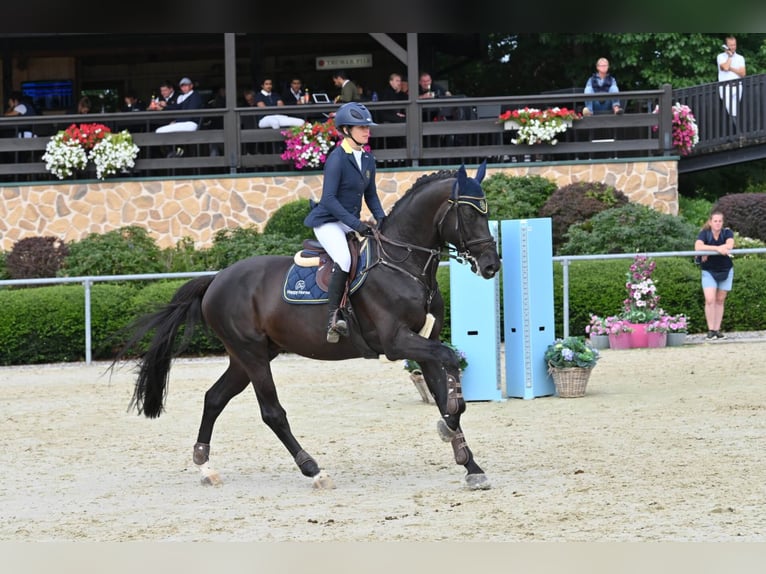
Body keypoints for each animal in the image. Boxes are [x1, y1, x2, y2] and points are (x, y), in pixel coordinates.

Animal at [111, 162, 500, 490]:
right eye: (468, 212)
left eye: (487, 210)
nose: (491, 265)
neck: (404, 265)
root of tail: (216, 280)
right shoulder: (396, 342)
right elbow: (450, 364)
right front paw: (452, 429)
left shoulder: (422, 341)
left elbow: (443, 393)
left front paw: (469, 463)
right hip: (252, 355)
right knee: (272, 413)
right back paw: (314, 470)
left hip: (246, 356)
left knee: (214, 398)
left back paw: (205, 467)